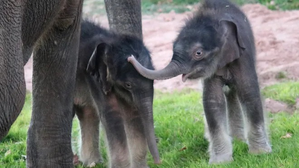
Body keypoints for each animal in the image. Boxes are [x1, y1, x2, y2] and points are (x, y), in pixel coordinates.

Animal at [73, 20, 161, 167]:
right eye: (128, 84)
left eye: (153, 80)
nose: (159, 162)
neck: (110, 41)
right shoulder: (94, 78)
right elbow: (112, 115)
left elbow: (132, 114)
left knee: (87, 112)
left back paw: (92, 163)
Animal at [129, 0, 272, 164]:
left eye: (198, 53)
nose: (130, 58)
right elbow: (212, 101)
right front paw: (220, 162)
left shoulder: (243, 56)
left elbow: (249, 92)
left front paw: (260, 154)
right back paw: (234, 140)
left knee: (234, 92)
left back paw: (239, 141)